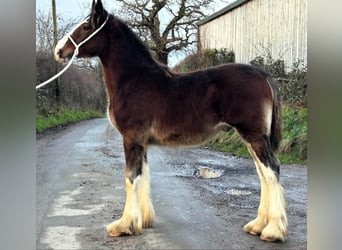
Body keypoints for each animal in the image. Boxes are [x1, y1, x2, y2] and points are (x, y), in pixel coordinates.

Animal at [54, 0, 288, 242]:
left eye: (86, 27)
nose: (59, 51)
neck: (135, 80)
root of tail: (264, 75)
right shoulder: (142, 142)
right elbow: (143, 176)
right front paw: (143, 220)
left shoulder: (131, 138)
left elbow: (131, 178)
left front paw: (124, 225)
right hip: (253, 137)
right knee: (263, 174)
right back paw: (258, 225)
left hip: (254, 135)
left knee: (271, 171)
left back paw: (272, 230)